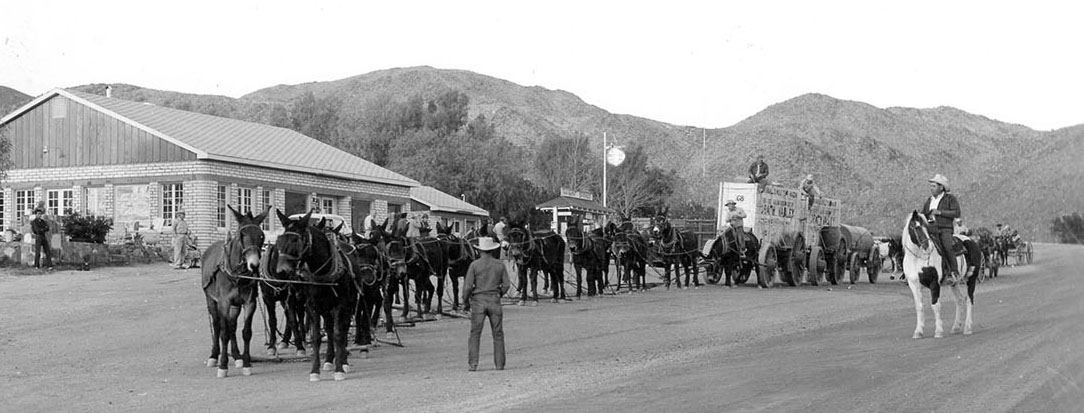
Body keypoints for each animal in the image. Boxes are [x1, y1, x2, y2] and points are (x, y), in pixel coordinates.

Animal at [203, 203, 271, 377]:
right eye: (242, 234)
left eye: (261, 236)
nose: (254, 265)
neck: (238, 274)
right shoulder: (224, 303)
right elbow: (224, 333)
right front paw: (223, 366)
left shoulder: (249, 303)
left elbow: (246, 332)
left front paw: (246, 363)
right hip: (211, 300)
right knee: (218, 325)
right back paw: (214, 356)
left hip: (235, 305)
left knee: (232, 325)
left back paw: (237, 356)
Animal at [273, 209, 357, 379]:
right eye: (281, 239)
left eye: (295, 240)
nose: (281, 271)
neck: (323, 270)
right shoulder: (313, 306)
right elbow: (317, 337)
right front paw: (315, 371)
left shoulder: (341, 304)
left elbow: (339, 334)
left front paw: (340, 368)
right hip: (326, 308)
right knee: (329, 329)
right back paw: (329, 359)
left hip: (349, 304)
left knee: (342, 329)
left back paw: (343, 360)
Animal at [897, 209, 984, 338]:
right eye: (916, 227)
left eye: (926, 227)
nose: (927, 246)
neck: (917, 258)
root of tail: (971, 240)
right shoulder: (914, 285)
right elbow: (919, 307)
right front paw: (918, 331)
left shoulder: (934, 283)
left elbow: (935, 305)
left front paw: (938, 331)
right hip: (954, 283)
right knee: (959, 300)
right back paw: (956, 327)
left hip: (972, 279)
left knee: (969, 299)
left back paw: (967, 328)